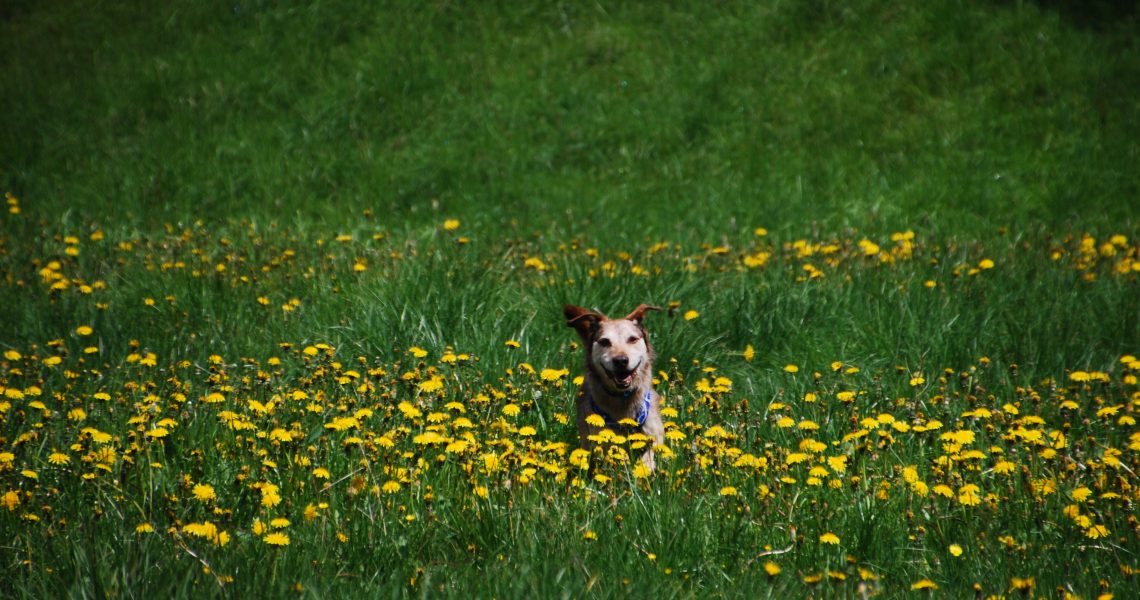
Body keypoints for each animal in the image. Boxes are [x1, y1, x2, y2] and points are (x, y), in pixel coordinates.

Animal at [563, 305, 665, 469]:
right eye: (604, 341)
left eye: (632, 339)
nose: (621, 360)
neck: (622, 400)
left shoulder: (654, 433)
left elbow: (650, 454)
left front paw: (644, 468)